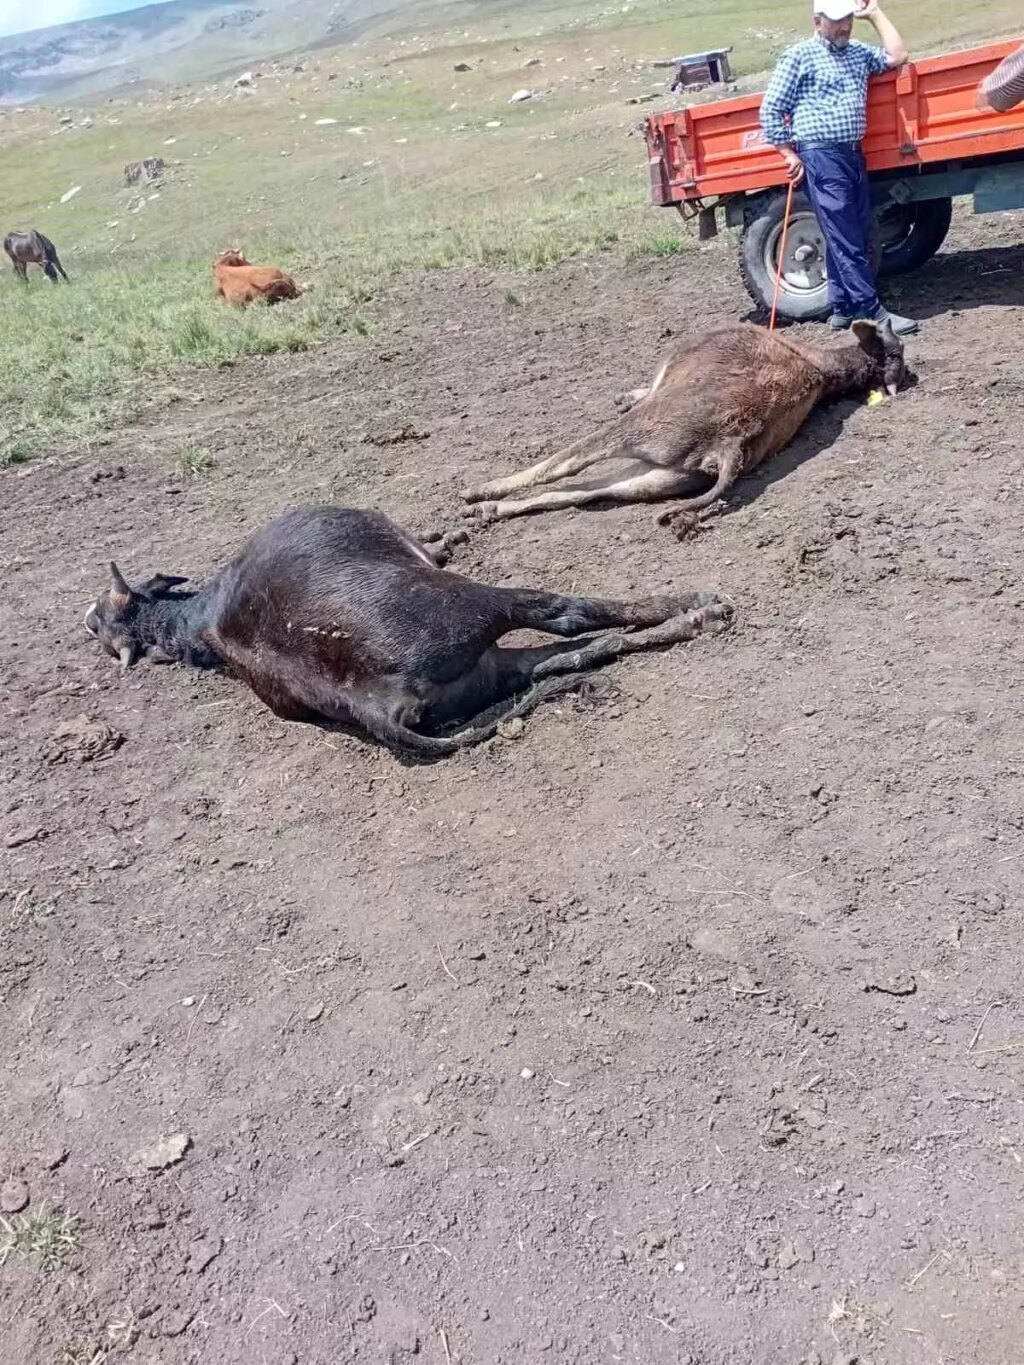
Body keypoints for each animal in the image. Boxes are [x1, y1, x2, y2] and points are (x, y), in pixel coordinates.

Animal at [83, 507, 732, 758]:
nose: (90, 620)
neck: (200, 621)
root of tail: (371, 702)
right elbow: (437, 542)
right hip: (471, 605)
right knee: (567, 614)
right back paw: (693, 608)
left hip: (486, 670)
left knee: (571, 656)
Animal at [463, 318, 906, 537]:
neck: (819, 369)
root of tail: (727, 445)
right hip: (660, 477)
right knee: (579, 493)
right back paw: (487, 510)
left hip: (639, 433)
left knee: (562, 466)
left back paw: (479, 493)